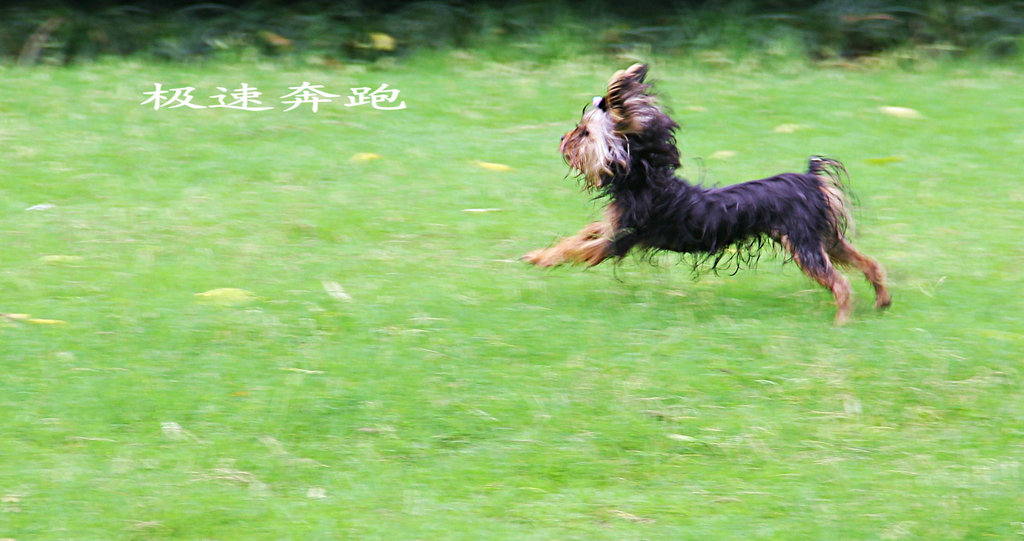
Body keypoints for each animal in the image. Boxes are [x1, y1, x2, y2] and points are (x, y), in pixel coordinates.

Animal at [524, 65, 892, 323]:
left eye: (585, 133)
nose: (562, 138)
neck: (643, 180)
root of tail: (811, 181)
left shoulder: (619, 240)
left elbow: (576, 250)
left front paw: (541, 260)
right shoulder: (611, 225)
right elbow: (578, 236)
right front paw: (539, 253)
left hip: (804, 245)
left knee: (841, 285)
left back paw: (841, 322)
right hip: (824, 239)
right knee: (869, 262)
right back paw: (881, 300)